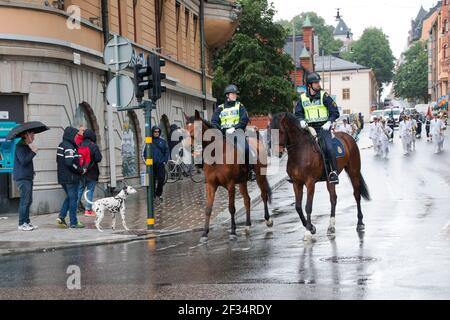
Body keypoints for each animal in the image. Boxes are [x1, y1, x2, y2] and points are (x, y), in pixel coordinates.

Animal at [184, 110, 274, 240]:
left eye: (197, 128)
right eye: (185, 128)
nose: (187, 147)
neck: (217, 155)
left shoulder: (230, 185)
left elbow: (231, 208)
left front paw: (232, 231)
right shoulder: (210, 185)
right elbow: (208, 209)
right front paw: (205, 233)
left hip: (260, 177)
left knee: (264, 195)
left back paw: (268, 220)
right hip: (242, 182)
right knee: (247, 200)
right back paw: (247, 225)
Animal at [270, 112, 370, 240]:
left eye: (281, 131)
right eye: (270, 131)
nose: (277, 153)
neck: (300, 153)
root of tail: (349, 137)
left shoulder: (310, 183)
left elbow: (308, 206)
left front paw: (308, 231)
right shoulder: (297, 183)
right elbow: (298, 207)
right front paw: (311, 227)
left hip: (353, 171)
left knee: (357, 195)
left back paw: (360, 223)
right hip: (329, 180)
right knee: (333, 199)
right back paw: (331, 226)